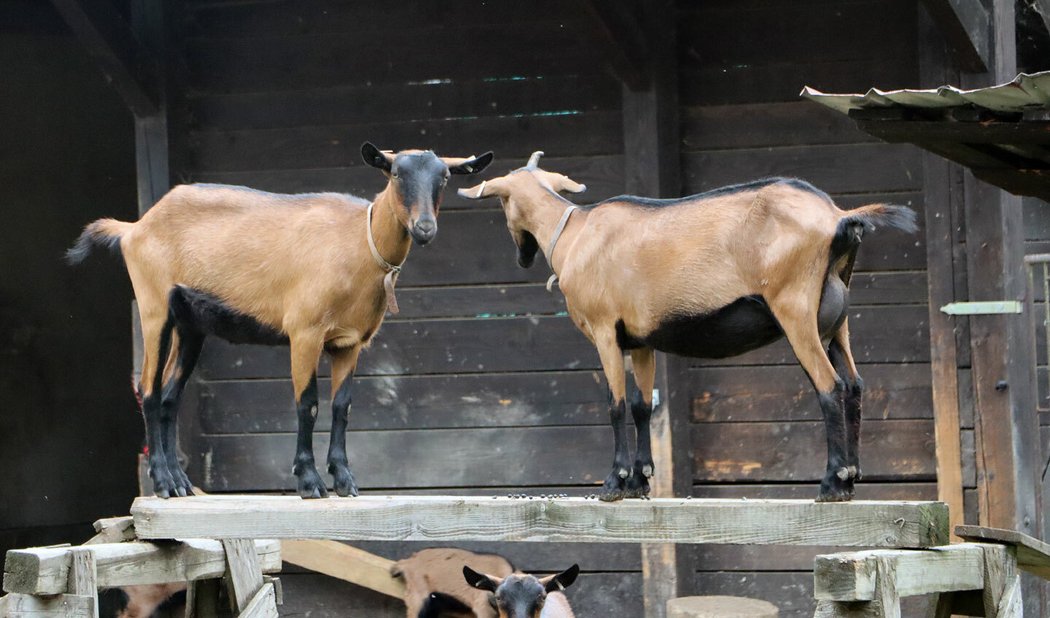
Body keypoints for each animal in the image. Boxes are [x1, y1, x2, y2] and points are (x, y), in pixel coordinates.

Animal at [66, 145, 491, 501]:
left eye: (445, 177)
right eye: (396, 173)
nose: (424, 228)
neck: (357, 242)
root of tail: (134, 228)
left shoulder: (349, 342)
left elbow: (342, 406)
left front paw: (345, 480)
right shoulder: (305, 331)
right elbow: (308, 404)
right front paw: (310, 481)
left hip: (191, 324)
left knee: (171, 393)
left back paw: (182, 482)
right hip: (154, 306)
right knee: (149, 389)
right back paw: (162, 482)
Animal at [457, 153, 911, 501]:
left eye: (503, 203)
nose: (522, 257)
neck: (576, 234)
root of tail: (839, 217)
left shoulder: (604, 330)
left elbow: (615, 403)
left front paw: (615, 482)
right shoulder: (640, 340)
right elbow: (642, 405)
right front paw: (640, 480)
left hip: (794, 308)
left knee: (829, 385)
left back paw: (832, 483)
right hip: (835, 321)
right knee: (853, 384)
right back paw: (851, 479)